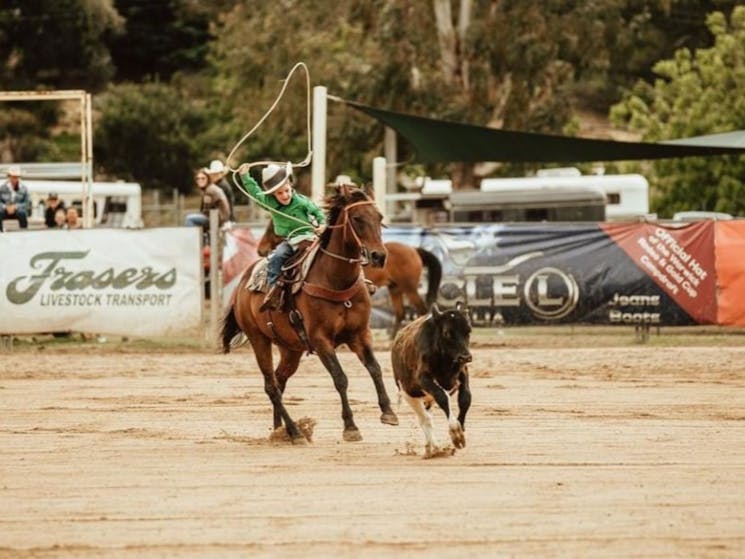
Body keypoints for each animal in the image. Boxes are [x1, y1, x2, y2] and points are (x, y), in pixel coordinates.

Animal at [219, 186, 398, 444]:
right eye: (357, 219)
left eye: (379, 217)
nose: (379, 256)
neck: (336, 280)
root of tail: (242, 285)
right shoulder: (321, 340)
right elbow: (340, 378)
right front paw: (350, 427)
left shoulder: (360, 334)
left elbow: (374, 368)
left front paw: (388, 412)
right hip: (258, 339)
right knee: (271, 385)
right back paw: (294, 432)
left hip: (290, 348)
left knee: (279, 380)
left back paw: (279, 430)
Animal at [258, 220, 442, 334]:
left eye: (271, 229)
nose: (260, 249)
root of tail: (414, 249)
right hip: (395, 288)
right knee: (400, 313)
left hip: (409, 288)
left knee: (421, 309)